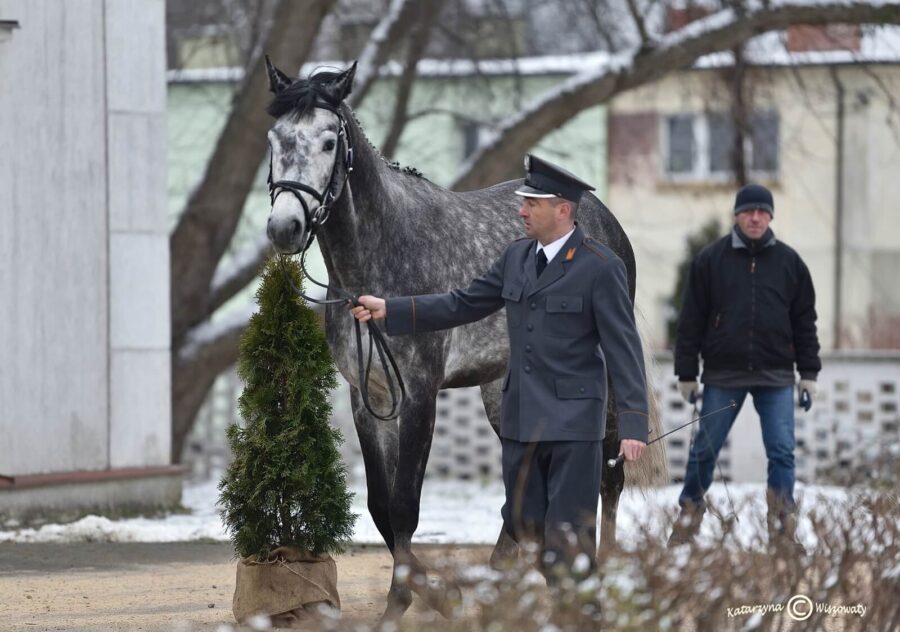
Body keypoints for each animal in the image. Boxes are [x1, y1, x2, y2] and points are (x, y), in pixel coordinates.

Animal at [264, 60, 664, 624]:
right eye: (275, 139)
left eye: (326, 141)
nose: (285, 227)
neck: (380, 254)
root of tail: (603, 217)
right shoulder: (368, 398)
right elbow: (381, 508)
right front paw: (440, 595)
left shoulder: (420, 395)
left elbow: (405, 506)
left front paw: (408, 603)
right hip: (503, 393)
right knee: (520, 496)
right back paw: (500, 584)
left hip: (602, 384)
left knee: (607, 475)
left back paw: (594, 577)